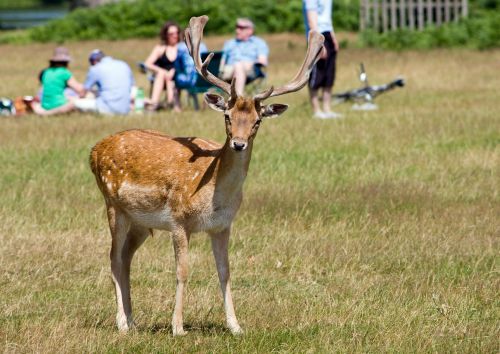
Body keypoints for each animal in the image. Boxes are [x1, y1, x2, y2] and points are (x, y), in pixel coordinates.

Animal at [89, 15, 324, 336]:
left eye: (257, 121)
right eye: (227, 116)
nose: (238, 144)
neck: (214, 195)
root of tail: (94, 150)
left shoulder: (222, 225)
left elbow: (225, 271)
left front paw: (236, 326)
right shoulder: (178, 221)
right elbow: (182, 271)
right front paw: (178, 327)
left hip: (141, 223)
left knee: (125, 259)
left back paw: (133, 319)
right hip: (113, 205)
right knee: (113, 257)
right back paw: (123, 323)